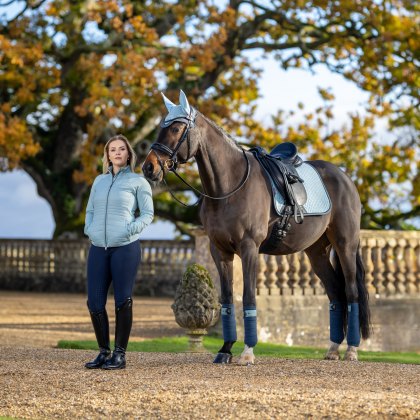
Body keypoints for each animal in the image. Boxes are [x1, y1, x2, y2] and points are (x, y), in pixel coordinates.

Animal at [142, 91, 370, 364]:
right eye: (160, 128)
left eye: (176, 128)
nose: (149, 167)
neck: (229, 187)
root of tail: (344, 178)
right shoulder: (220, 252)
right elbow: (227, 300)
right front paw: (225, 349)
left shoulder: (249, 248)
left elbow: (248, 296)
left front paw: (247, 353)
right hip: (317, 252)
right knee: (336, 293)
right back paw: (333, 349)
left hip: (346, 245)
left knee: (352, 292)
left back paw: (352, 350)